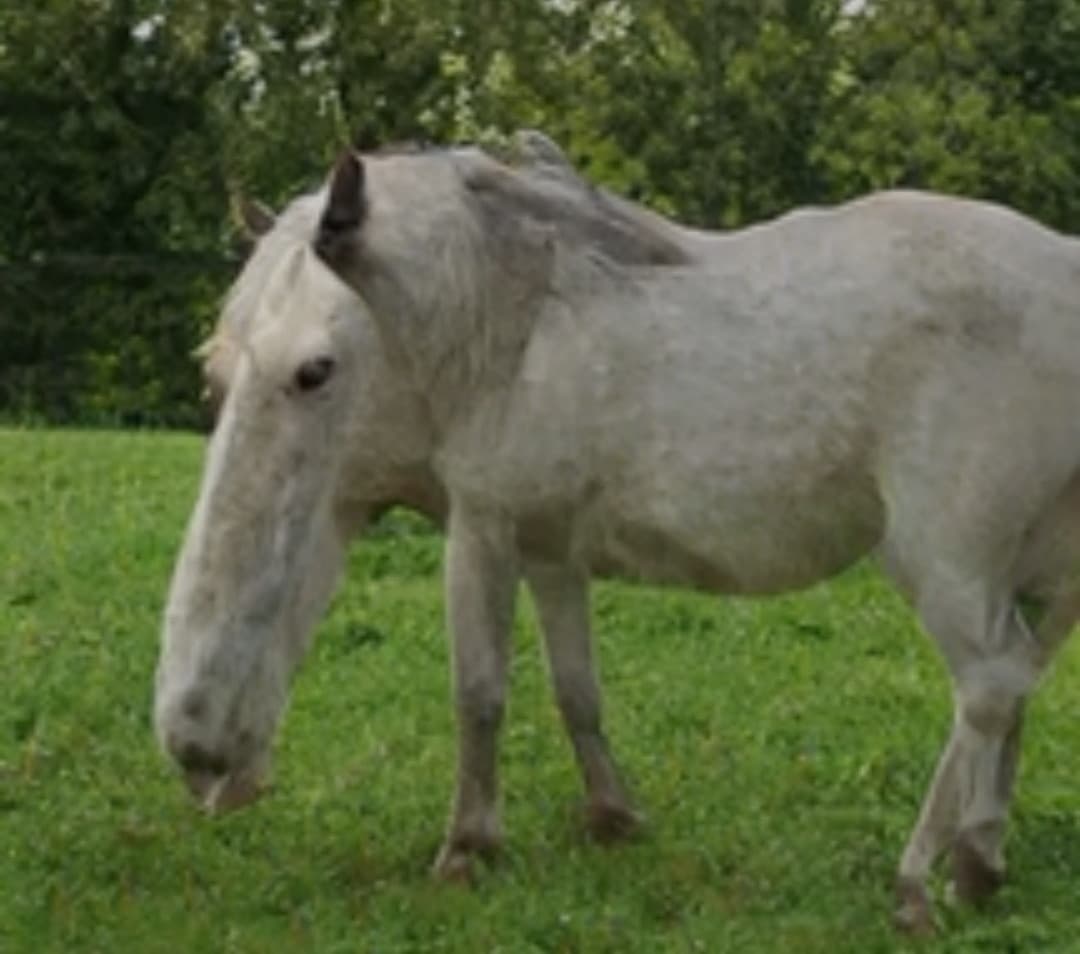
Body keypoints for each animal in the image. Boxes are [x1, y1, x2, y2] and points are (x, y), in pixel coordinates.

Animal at [156, 132, 1080, 933]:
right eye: (218, 369)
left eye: (314, 370)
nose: (198, 757)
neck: (507, 323)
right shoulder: (549, 551)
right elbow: (576, 688)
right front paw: (611, 816)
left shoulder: (482, 535)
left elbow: (478, 694)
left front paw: (467, 848)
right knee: (1013, 688)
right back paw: (979, 862)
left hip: (946, 565)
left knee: (988, 686)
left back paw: (921, 879)